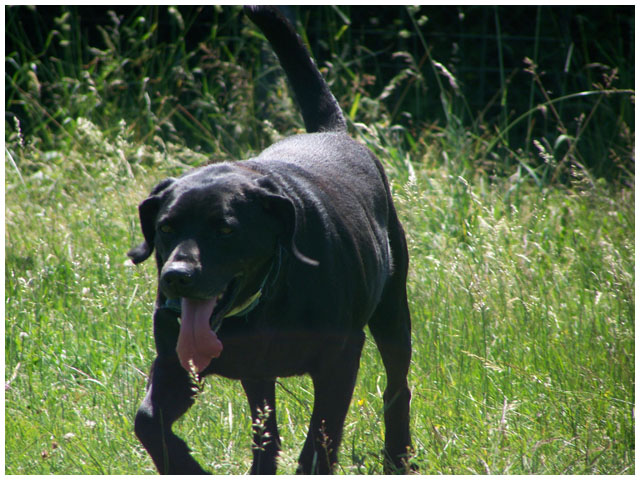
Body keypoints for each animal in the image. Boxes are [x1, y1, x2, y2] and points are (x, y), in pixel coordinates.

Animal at [128, 5, 412, 474]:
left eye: (225, 229)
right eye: (166, 227)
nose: (176, 277)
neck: (266, 297)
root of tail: (333, 132)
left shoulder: (340, 357)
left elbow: (320, 439)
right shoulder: (177, 361)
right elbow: (148, 422)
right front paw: (187, 465)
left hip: (393, 309)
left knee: (397, 386)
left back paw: (399, 457)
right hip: (257, 371)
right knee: (266, 426)